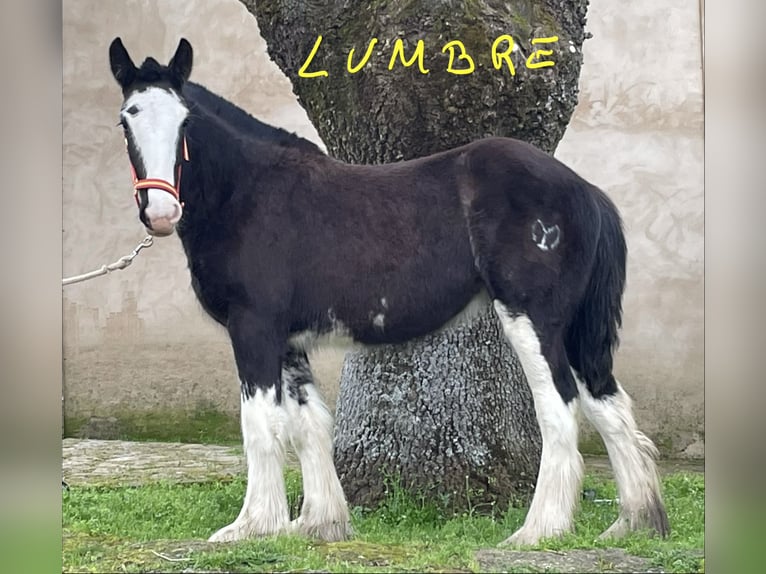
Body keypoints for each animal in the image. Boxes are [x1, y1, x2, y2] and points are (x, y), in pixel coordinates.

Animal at [107, 37, 669, 546]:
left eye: (185, 123)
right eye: (126, 119)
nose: (161, 213)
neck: (249, 194)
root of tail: (585, 191)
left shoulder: (254, 330)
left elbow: (261, 425)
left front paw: (252, 526)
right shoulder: (288, 340)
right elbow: (309, 425)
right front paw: (318, 524)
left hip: (534, 322)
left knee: (560, 410)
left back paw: (539, 530)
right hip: (576, 334)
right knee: (609, 406)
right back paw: (632, 523)